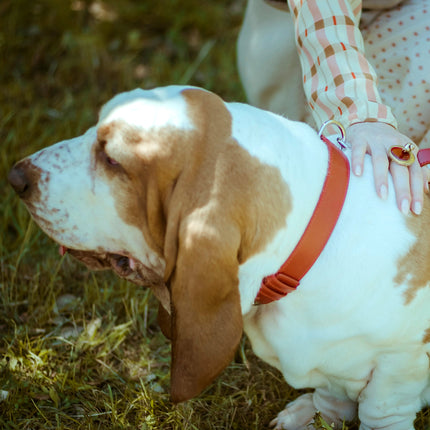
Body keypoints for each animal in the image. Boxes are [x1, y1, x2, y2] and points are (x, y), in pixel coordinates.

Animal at [6, 85, 430, 428]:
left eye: (113, 161)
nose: (15, 177)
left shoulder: (400, 367)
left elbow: (380, 409)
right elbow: (332, 388)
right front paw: (315, 416)